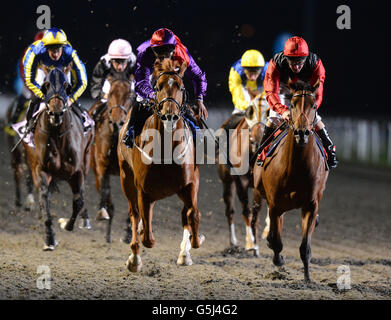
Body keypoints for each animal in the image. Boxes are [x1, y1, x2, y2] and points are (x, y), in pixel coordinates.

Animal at [24, 69, 95, 251]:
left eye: (66, 85)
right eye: (46, 84)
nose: (55, 113)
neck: (56, 135)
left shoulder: (76, 171)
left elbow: (78, 201)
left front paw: (66, 224)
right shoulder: (41, 170)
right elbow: (44, 200)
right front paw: (50, 238)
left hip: (86, 162)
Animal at [88, 78, 134, 242]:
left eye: (129, 95)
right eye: (111, 94)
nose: (117, 122)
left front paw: (128, 231)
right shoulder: (102, 166)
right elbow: (105, 190)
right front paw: (103, 214)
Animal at [118, 58, 205, 272]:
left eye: (181, 87)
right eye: (158, 87)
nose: (169, 115)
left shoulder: (190, 183)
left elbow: (193, 214)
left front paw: (194, 243)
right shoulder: (143, 191)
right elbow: (147, 236)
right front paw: (138, 249)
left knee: (185, 214)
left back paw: (184, 253)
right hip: (126, 179)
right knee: (134, 215)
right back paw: (134, 258)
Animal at [217, 93, 266, 255]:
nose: (256, 142)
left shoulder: (259, 186)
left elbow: (256, 213)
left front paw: (256, 247)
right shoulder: (239, 181)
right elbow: (246, 211)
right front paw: (251, 244)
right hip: (227, 181)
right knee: (230, 210)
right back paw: (233, 243)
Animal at [253, 80, 330, 282]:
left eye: (314, 105)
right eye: (293, 105)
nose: (302, 133)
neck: (296, 168)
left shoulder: (310, 206)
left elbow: (305, 247)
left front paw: (308, 278)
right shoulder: (274, 205)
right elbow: (276, 241)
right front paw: (278, 260)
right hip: (259, 193)